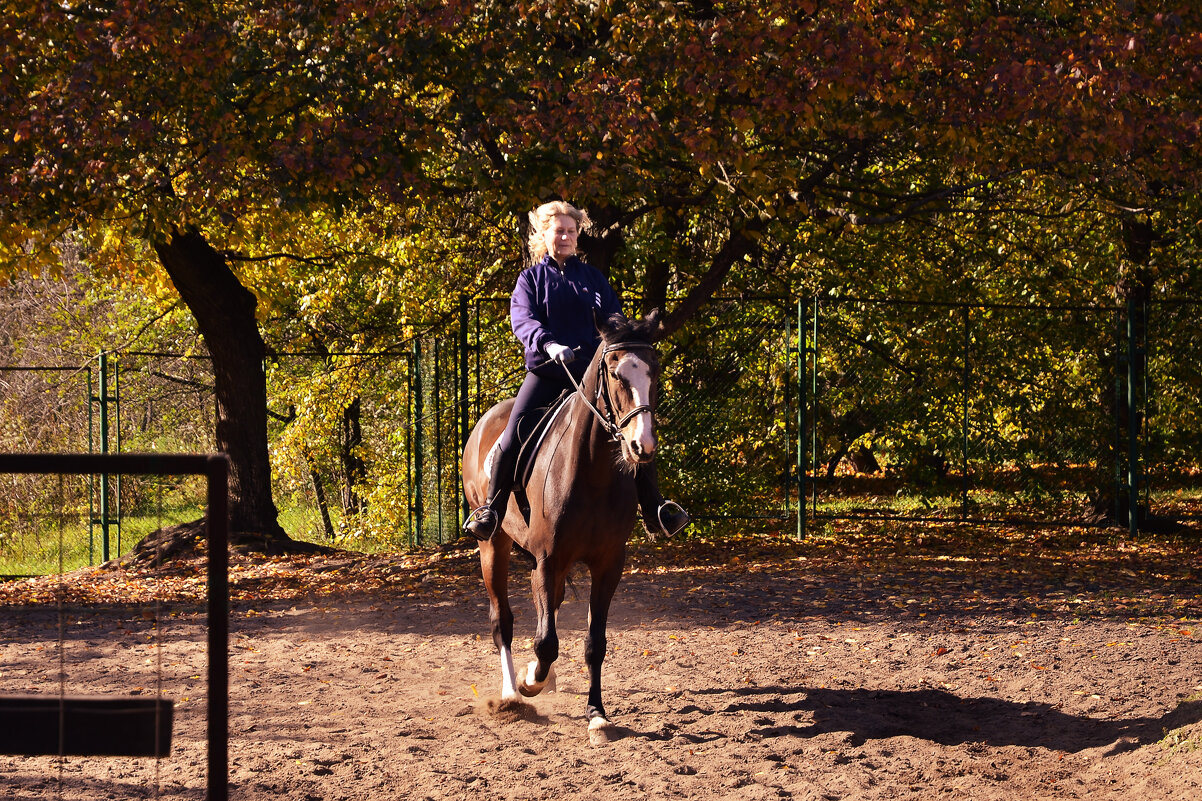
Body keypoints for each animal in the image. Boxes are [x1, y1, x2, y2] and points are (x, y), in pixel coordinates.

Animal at [461, 307, 668, 740]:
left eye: (654, 371)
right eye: (616, 373)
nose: (641, 446)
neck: (592, 471)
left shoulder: (608, 565)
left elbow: (593, 642)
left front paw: (597, 714)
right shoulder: (548, 558)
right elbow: (545, 642)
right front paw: (530, 681)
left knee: (547, 609)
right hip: (493, 545)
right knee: (502, 621)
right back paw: (512, 693)